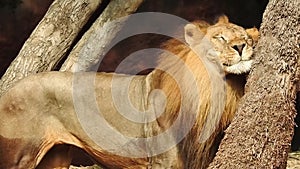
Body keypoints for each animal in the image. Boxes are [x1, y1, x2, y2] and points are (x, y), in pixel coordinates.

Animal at [0, 15, 258, 168]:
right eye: (220, 38)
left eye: (244, 35)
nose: (241, 46)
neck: (215, 88)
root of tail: (8, 91)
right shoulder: (163, 162)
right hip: (17, 157)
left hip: (55, 158)